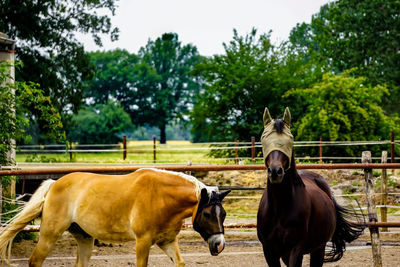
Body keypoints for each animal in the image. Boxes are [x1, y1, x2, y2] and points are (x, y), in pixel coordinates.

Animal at [0, 169, 231, 266]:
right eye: (207, 213)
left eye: (224, 214)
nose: (219, 245)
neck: (161, 196)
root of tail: (54, 183)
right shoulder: (142, 242)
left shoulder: (167, 242)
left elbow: (180, 263)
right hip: (49, 234)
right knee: (34, 261)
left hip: (85, 239)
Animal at [256, 108, 366, 266]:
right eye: (264, 140)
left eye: (289, 141)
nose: (275, 171)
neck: (280, 207)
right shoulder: (269, 251)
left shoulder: (296, 249)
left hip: (318, 249)